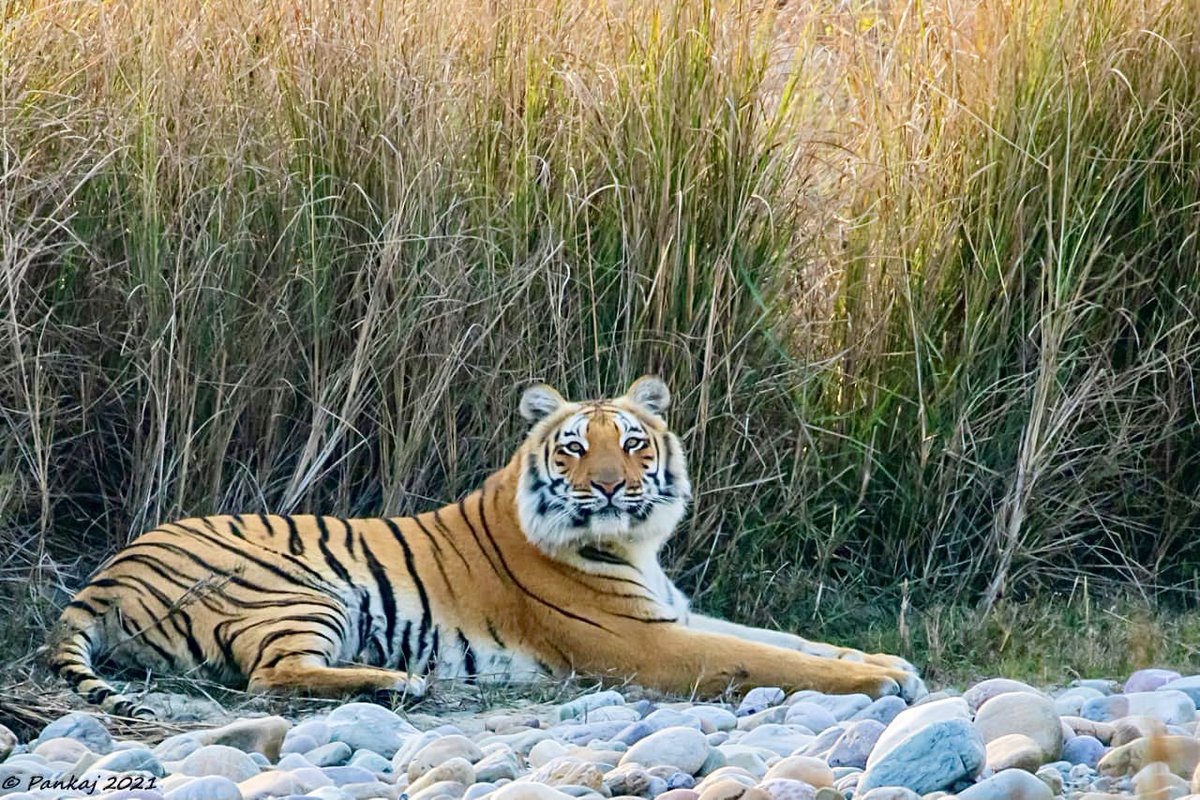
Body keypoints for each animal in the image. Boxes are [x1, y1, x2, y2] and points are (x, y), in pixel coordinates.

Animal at [49, 376, 925, 717]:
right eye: (574, 448)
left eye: (634, 443)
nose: (611, 488)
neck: (635, 545)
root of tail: (105, 571)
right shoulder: (645, 644)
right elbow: (769, 658)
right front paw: (879, 680)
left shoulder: (673, 613)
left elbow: (790, 639)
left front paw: (889, 662)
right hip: (300, 589)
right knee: (272, 678)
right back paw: (403, 683)